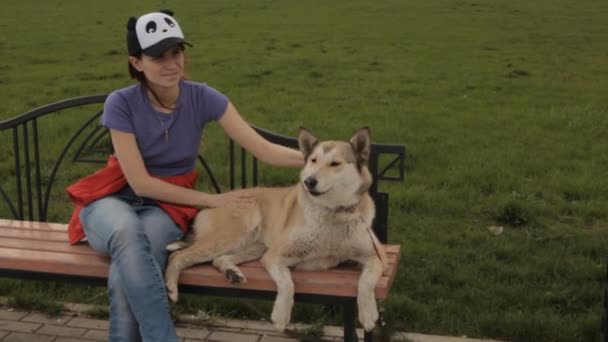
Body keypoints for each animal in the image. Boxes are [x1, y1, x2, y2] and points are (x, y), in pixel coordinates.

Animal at [164, 127, 388, 332]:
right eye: (313, 160)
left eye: (335, 164)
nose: (309, 181)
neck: (333, 213)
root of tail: (213, 200)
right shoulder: (275, 255)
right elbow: (287, 283)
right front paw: (281, 315)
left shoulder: (377, 256)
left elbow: (366, 281)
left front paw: (368, 313)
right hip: (230, 237)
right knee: (178, 256)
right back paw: (171, 289)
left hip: (254, 246)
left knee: (219, 259)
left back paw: (231, 272)